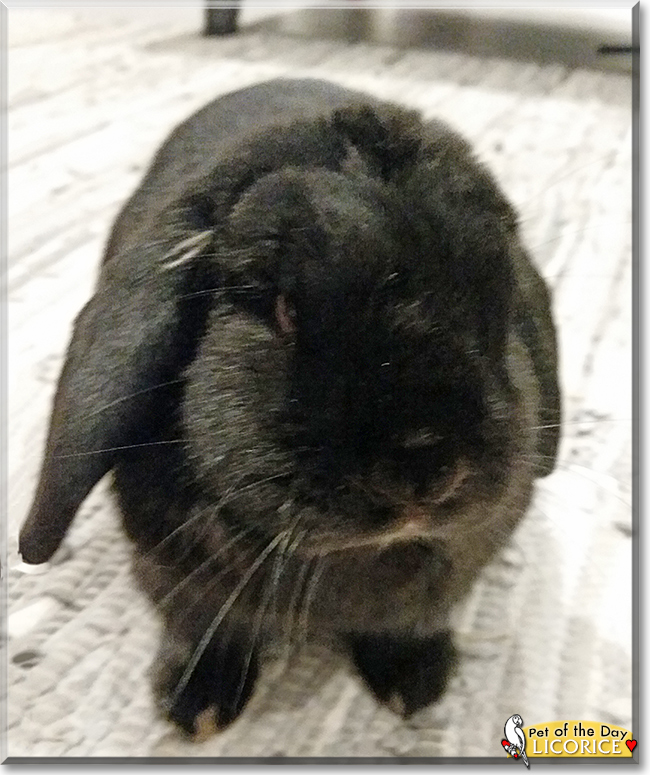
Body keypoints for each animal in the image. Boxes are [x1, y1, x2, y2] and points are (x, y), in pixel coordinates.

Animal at [19, 78, 561, 737]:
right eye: (285, 310)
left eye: (493, 304)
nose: (426, 467)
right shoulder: (179, 583)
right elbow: (204, 627)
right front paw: (197, 706)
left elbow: (408, 625)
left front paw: (415, 686)